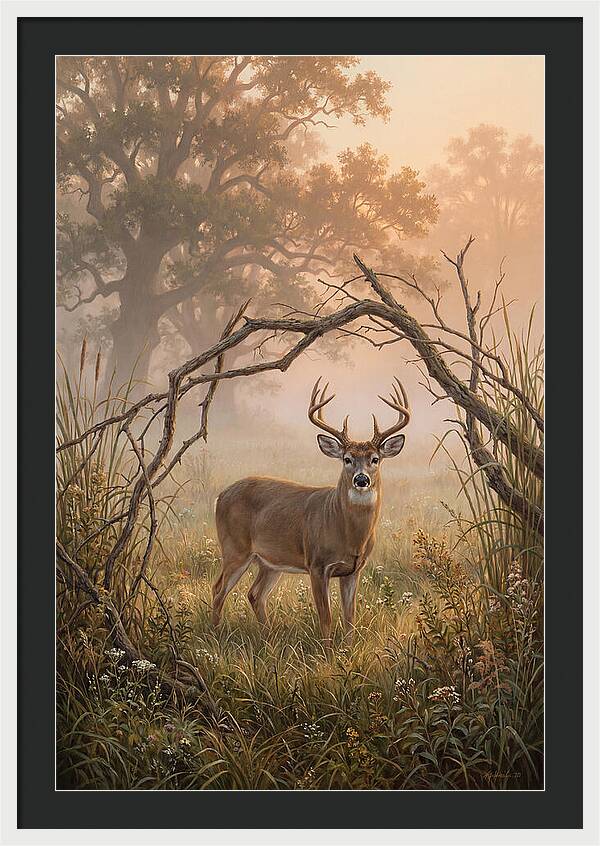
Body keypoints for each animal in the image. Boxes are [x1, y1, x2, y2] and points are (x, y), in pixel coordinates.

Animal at [211, 377, 410, 654]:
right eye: (347, 459)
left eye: (375, 459)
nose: (361, 480)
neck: (348, 534)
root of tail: (221, 496)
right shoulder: (317, 564)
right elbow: (325, 617)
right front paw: (327, 655)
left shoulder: (354, 569)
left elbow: (350, 618)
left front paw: (348, 651)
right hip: (235, 549)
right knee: (218, 589)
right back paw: (214, 637)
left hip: (269, 561)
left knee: (255, 594)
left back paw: (269, 641)